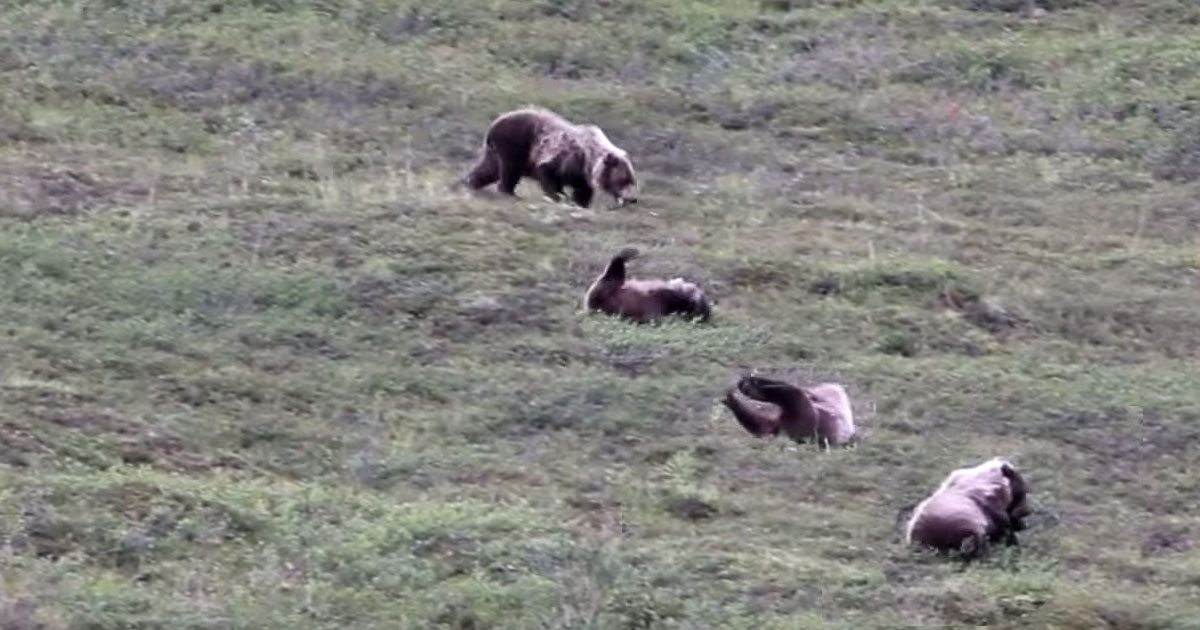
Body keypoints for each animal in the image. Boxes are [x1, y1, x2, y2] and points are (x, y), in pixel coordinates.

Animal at [463, 106, 638, 208]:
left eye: (633, 180)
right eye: (623, 180)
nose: (632, 199)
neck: (589, 159)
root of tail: (495, 123)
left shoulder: (582, 176)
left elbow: (583, 192)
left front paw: (579, 203)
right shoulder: (566, 158)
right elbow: (549, 174)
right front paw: (559, 197)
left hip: (495, 151)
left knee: (488, 169)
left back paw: (470, 182)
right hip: (514, 143)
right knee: (510, 169)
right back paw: (509, 192)